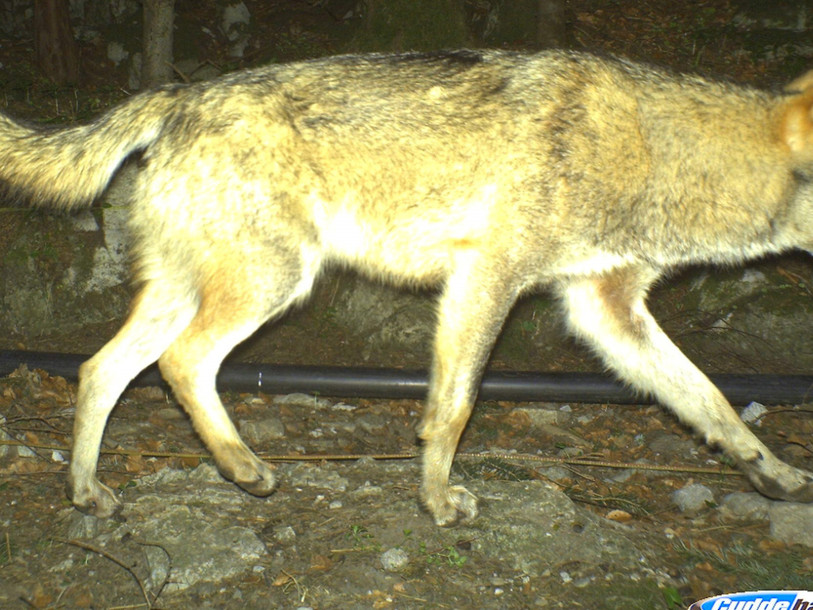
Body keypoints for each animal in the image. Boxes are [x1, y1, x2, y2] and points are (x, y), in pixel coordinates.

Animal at [1, 49, 812, 526]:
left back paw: (87, 492)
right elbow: (453, 409)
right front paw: (436, 500)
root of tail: (174, 97)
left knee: (98, 370)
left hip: (186, 294)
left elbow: (711, 400)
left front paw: (773, 472)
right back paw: (242, 468)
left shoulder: (605, 310)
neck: (651, 151)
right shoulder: (486, 280)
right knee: (181, 365)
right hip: (273, 284)